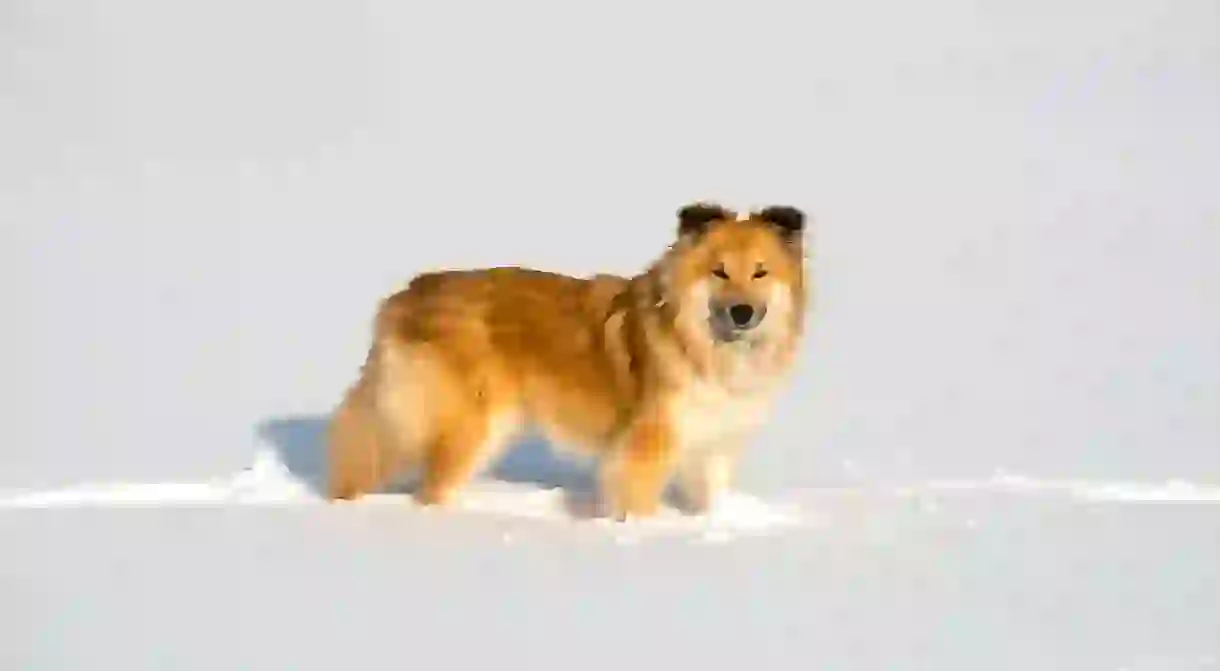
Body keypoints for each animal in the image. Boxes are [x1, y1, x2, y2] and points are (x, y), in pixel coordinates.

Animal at [329, 201, 814, 519]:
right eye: (719, 272)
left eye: (760, 272)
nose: (742, 311)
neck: (704, 345)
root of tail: (405, 296)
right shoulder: (648, 445)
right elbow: (638, 506)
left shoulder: (713, 445)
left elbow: (710, 500)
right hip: (473, 425)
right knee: (431, 491)